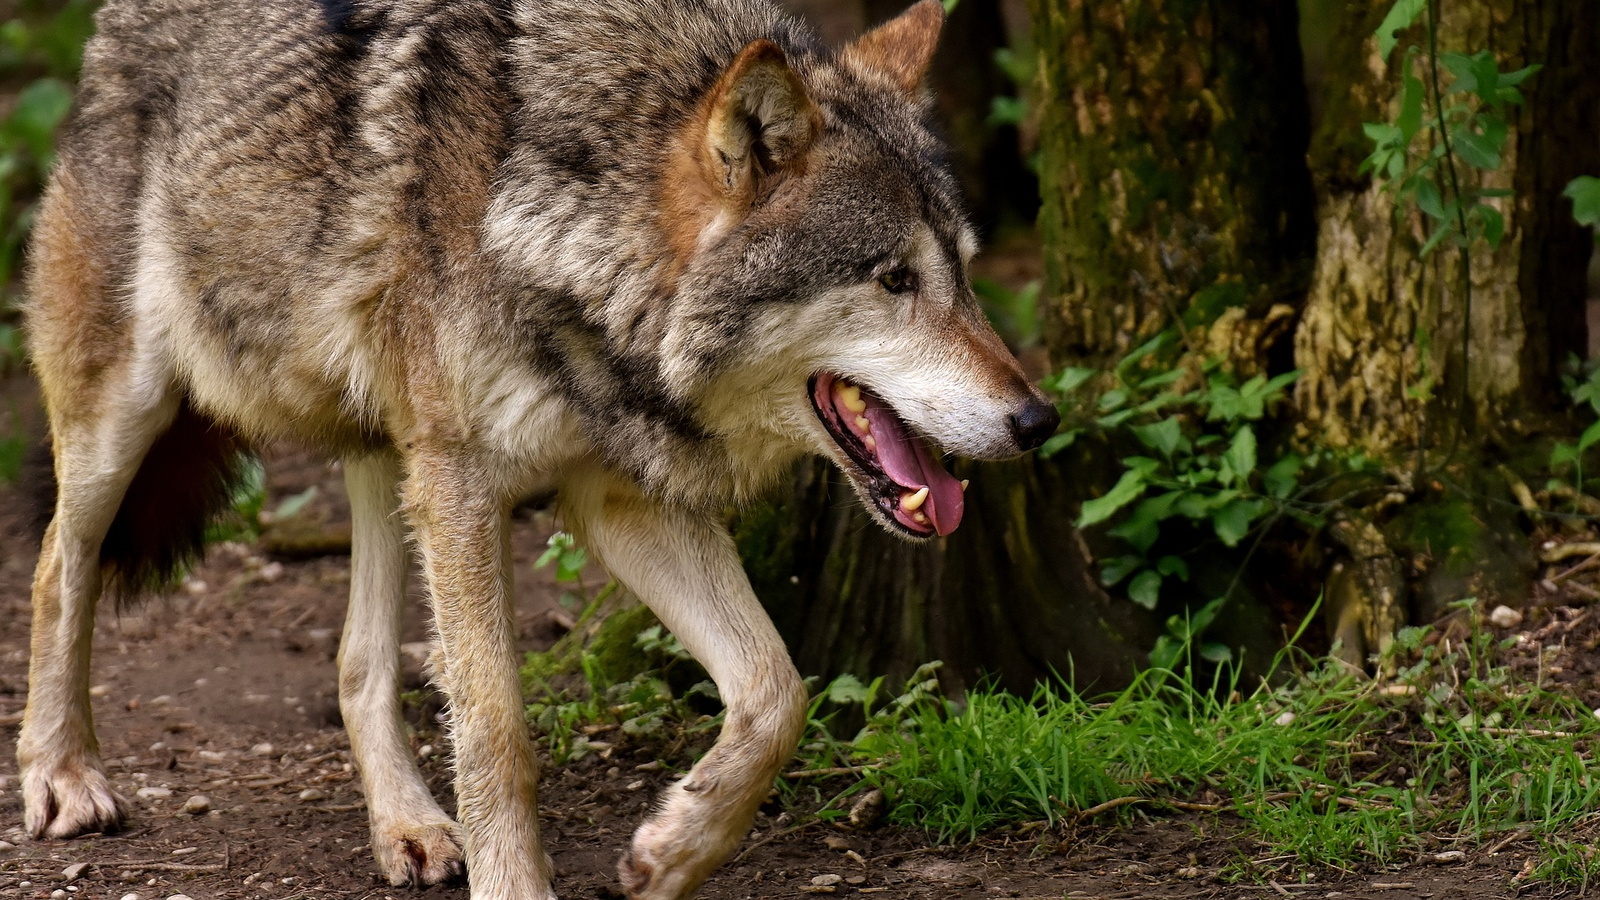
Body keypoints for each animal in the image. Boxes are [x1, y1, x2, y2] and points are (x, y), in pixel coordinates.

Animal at [17, 0, 1059, 897]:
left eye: (966, 274)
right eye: (893, 279)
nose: (1038, 420)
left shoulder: (616, 499)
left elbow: (777, 692)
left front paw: (674, 851)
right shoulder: (467, 485)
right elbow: (497, 728)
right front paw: (517, 882)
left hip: (389, 454)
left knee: (359, 661)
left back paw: (409, 827)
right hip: (131, 412)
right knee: (57, 565)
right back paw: (62, 776)